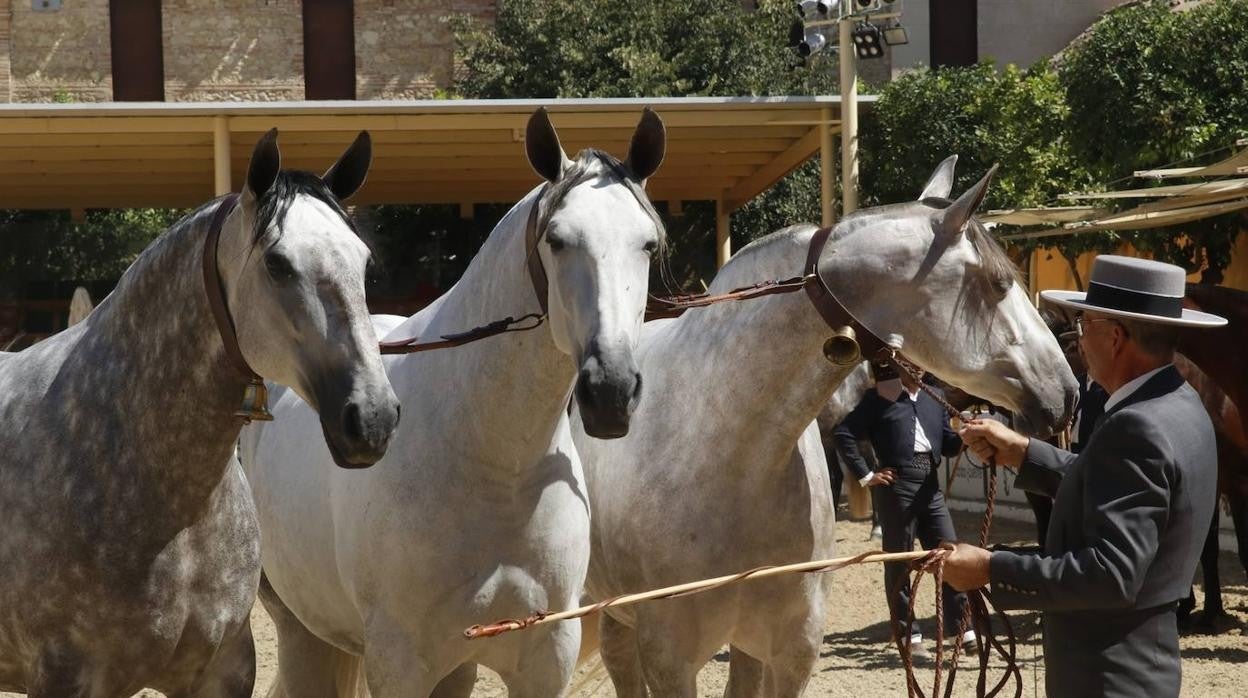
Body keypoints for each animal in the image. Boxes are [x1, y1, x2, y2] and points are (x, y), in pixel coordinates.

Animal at [238, 106, 668, 694]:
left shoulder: (547, 654)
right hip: (303, 632)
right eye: (557, 240)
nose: (611, 390)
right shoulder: (400, 663)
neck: (495, 467)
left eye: (647, 244)